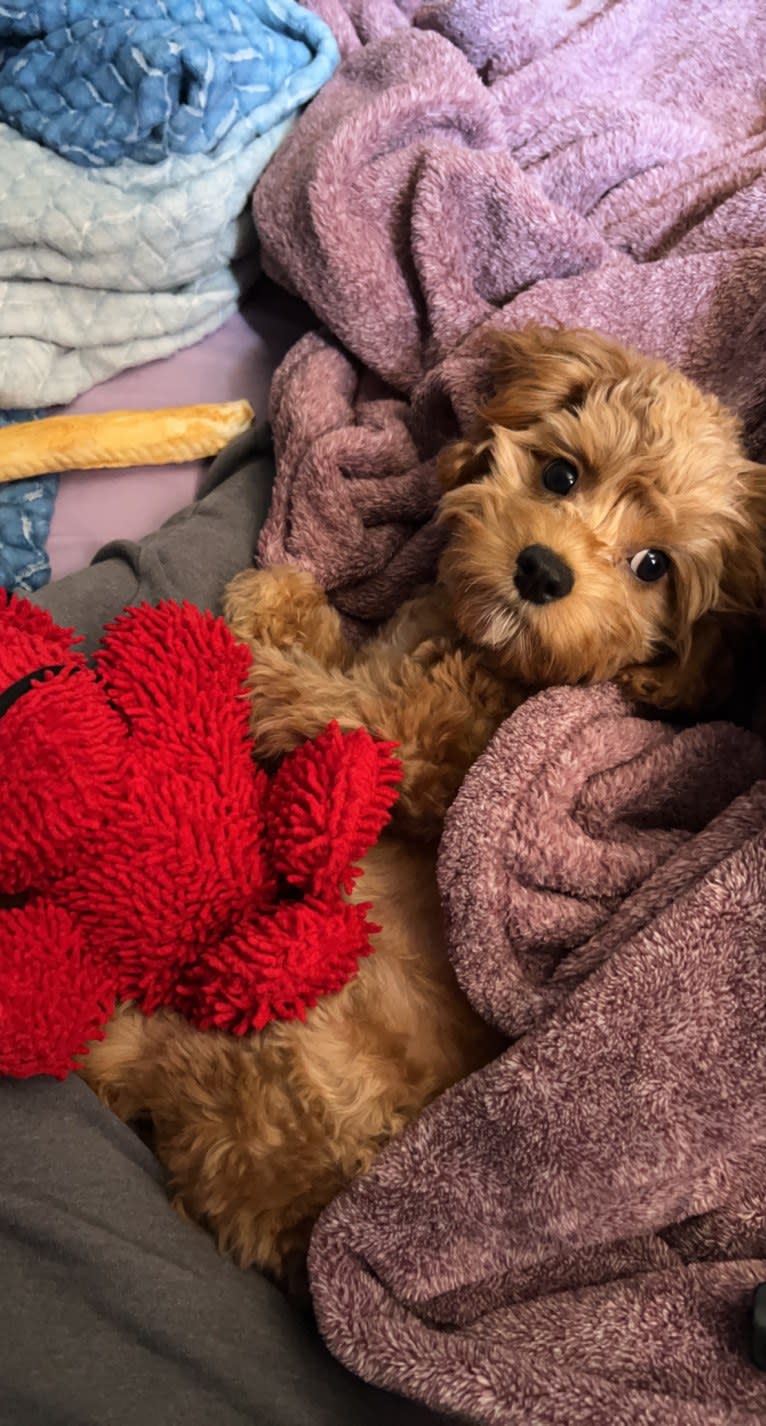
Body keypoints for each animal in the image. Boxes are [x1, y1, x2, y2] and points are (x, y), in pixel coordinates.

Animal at [82, 327, 764, 1277]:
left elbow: (319, 698)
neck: (487, 651)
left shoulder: (410, 744)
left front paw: (231, 655)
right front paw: (282, 596)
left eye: (652, 565)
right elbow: (333, 645)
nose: (542, 571)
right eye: (562, 475)